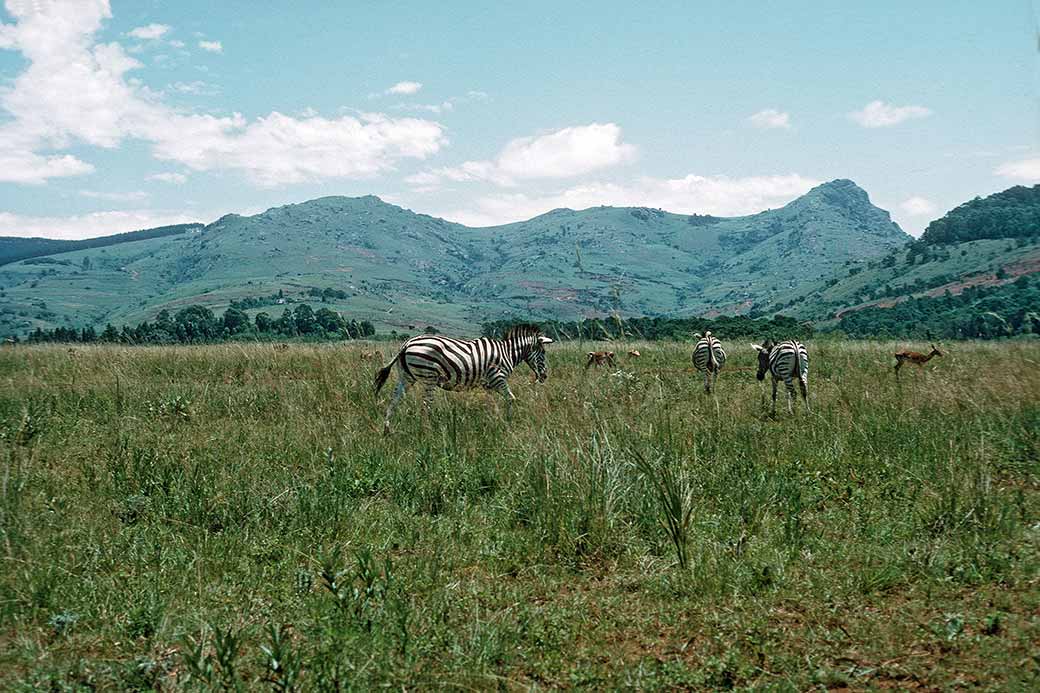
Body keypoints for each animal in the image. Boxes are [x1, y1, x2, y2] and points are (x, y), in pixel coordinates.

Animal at [373, 325, 553, 433]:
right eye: (543, 353)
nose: (544, 376)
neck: (507, 353)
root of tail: (406, 344)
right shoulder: (497, 378)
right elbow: (511, 398)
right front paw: (508, 422)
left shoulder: (488, 384)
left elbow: (491, 403)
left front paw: (493, 421)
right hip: (430, 377)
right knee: (426, 405)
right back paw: (428, 431)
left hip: (406, 377)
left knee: (394, 400)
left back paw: (387, 429)